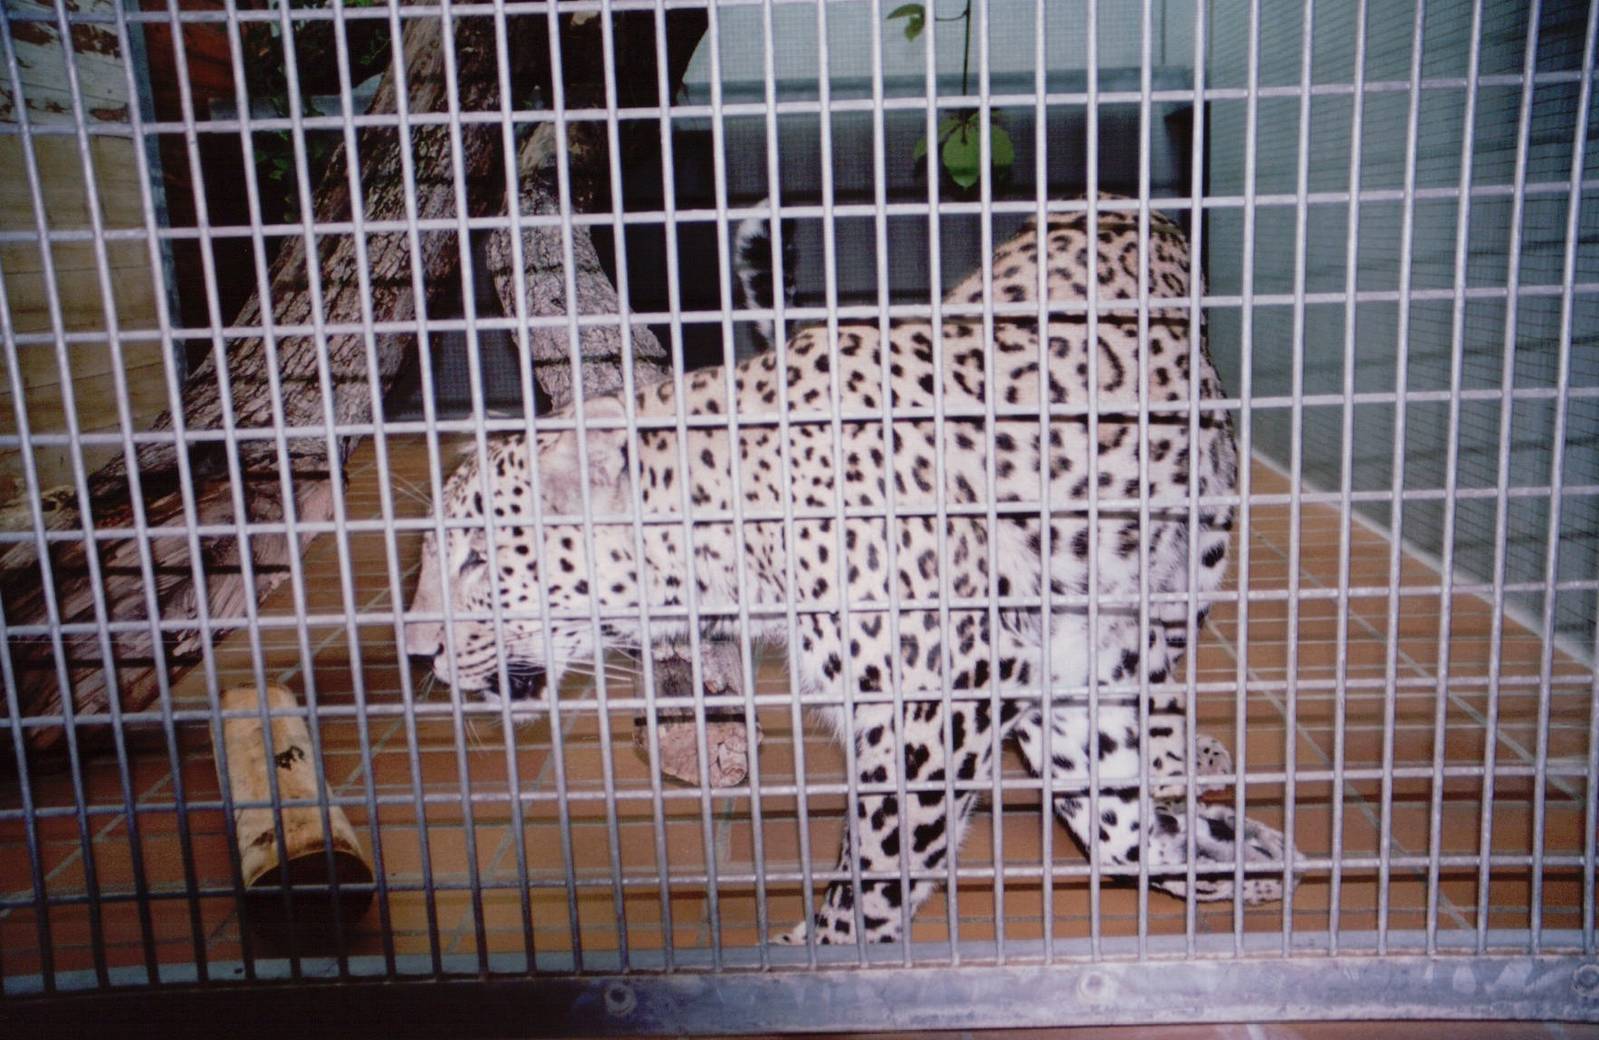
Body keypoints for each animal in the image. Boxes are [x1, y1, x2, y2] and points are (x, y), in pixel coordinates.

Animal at [403, 199, 1296, 946]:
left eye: (479, 553)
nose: (417, 652)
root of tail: (1121, 204)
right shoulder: (1053, 674)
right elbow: (1110, 821)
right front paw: (1237, 858)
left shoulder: (939, 699)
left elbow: (877, 868)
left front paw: (819, 962)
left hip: (1194, 553)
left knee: (1167, 665)